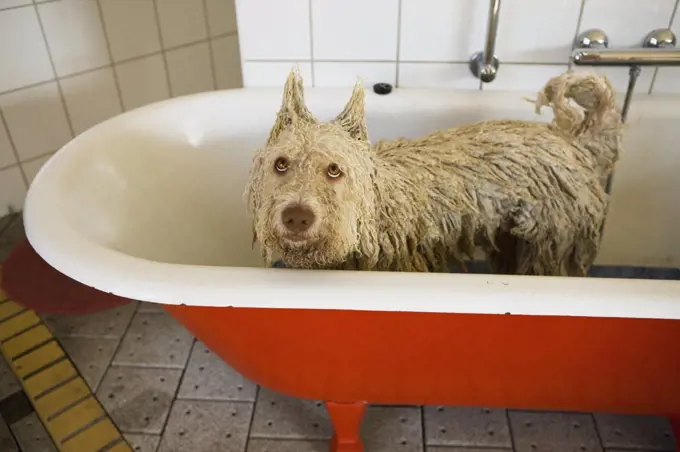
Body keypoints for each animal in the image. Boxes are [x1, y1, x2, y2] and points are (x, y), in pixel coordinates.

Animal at [243, 68, 620, 274]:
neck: (376, 216)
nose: (297, 216)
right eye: (281, 164)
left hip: (550, 242)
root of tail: (573, 142)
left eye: (335, 170)